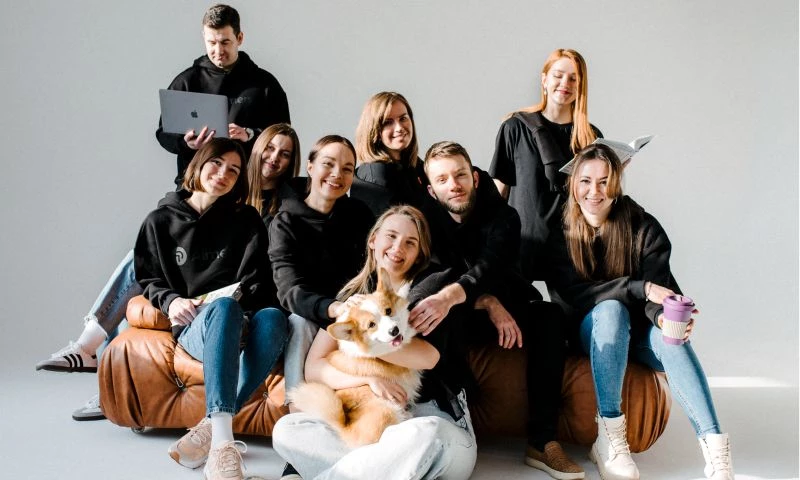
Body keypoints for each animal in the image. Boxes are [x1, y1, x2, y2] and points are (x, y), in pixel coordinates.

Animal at [288, 269, 420, 447]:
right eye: (371, 325)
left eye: (388, 311)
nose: (394, 331)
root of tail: (345, 428)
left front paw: (404, 288)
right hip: (387, 410)